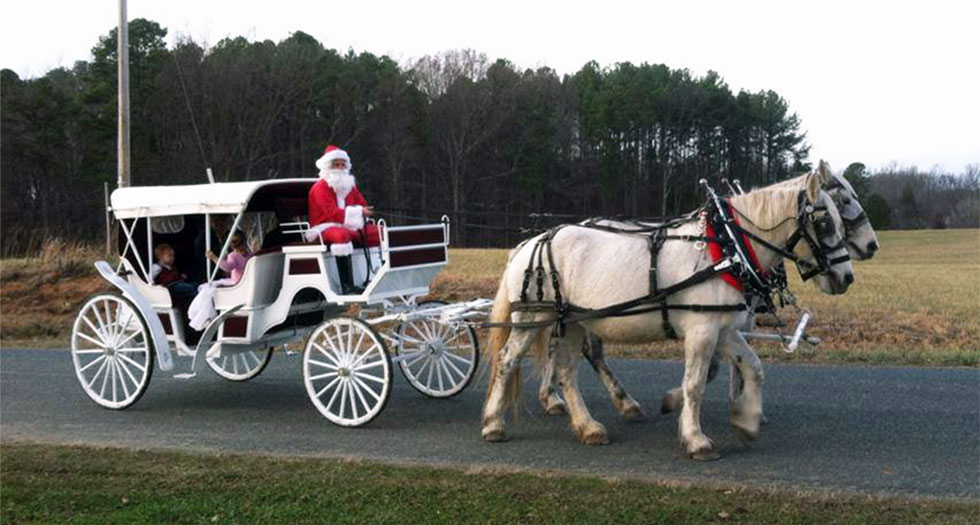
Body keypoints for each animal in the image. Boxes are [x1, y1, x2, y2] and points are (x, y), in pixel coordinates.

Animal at [482, 172, 848, 458]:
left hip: (571, 322)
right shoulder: (703, 330)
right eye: (825, 222)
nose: (846, 277)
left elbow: (753, 368)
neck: (727, 247)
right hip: (532, 317)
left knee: (566, 372)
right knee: (508, 360)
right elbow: (695, 384)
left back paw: (588, 427)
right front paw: (695, 438)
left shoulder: (723, 329)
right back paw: (493, 423)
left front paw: (745, 421)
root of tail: (529, 243)